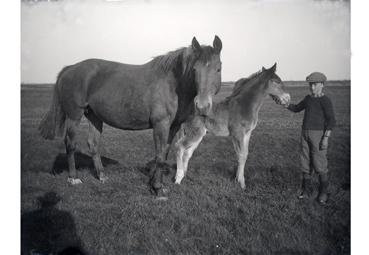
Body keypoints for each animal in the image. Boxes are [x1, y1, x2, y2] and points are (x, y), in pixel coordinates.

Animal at [38, 35, 221, 194]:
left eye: (218, 69)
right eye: (195, 69)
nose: (203, 105)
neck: (173, 84)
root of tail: (69, 69)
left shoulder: (173, 126)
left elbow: (164, 153)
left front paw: (159, 185)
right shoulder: (160, 125)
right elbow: (159, 156)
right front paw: (157, 188)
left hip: (94, 116)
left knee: (93, 144)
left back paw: (102, 176)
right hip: (74, 115)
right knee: (70, 143)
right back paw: (73, 178)